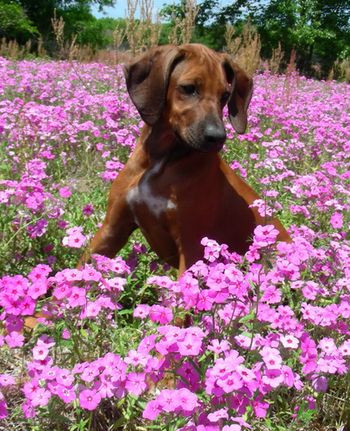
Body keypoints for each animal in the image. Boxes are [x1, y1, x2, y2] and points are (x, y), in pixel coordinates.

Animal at [82, 43, 290, 274]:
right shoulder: (111, 230)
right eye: (189, 88)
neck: (162, 159)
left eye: (225, 95)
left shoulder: (191, 247)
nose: (217, 137)